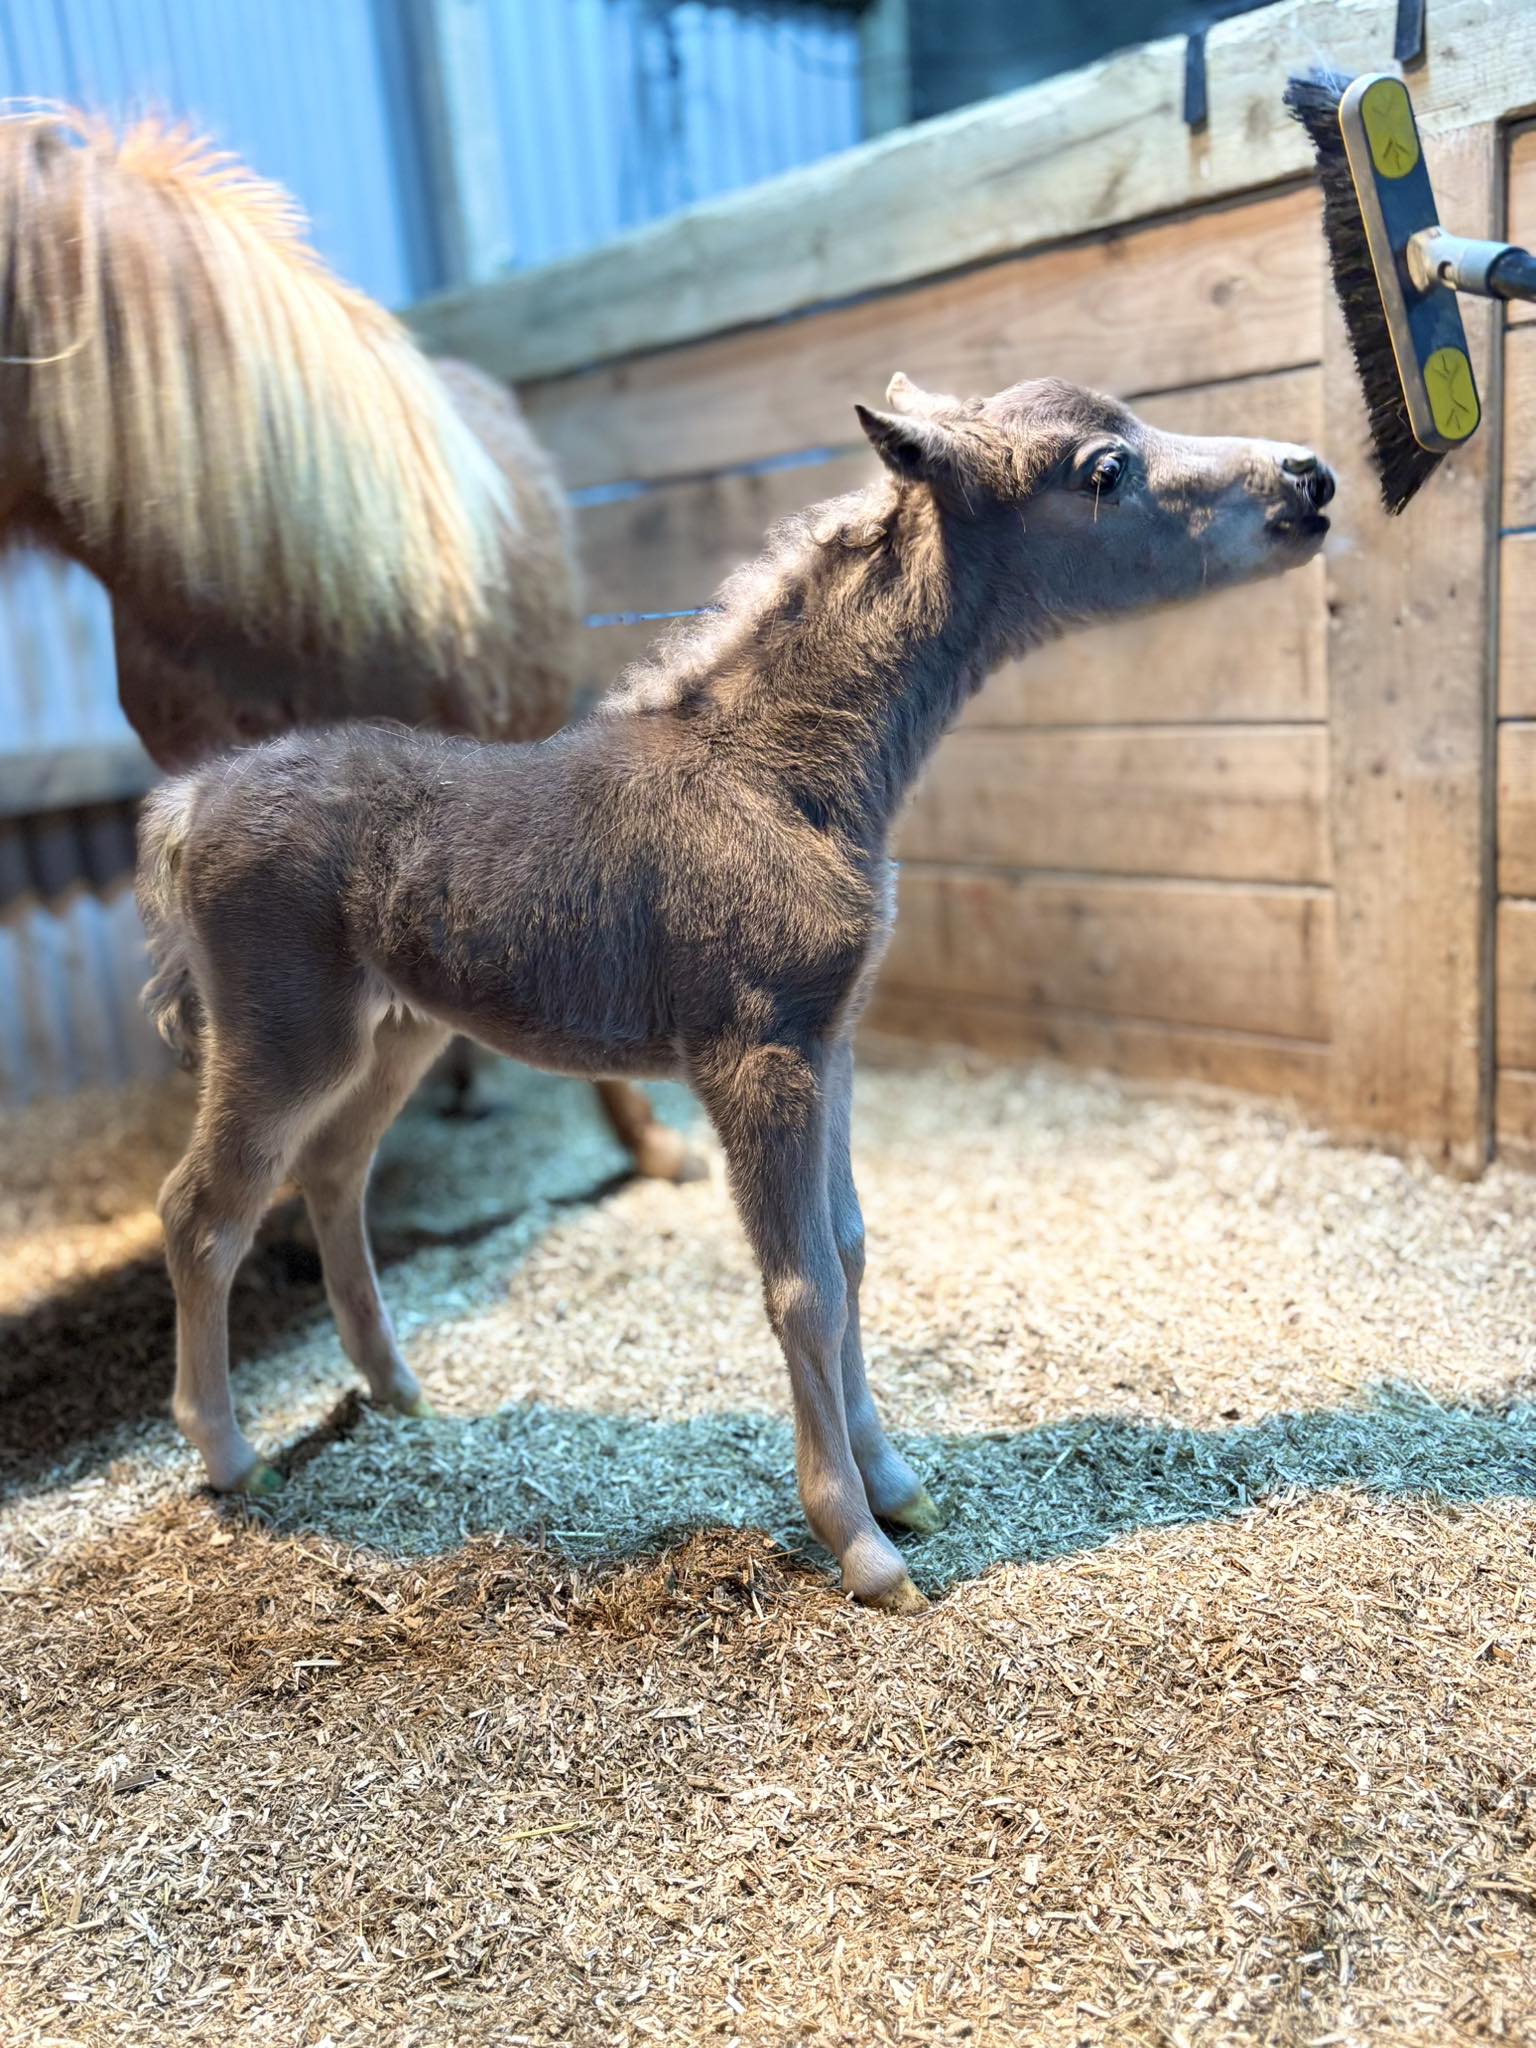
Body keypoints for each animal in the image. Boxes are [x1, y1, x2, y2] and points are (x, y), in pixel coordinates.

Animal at [138, 371, 1336, 1610]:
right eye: (1105, 470)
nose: (1311, 479)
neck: (776, 774)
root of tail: (189, 801)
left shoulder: (831, 1040)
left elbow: (848, 1248)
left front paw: (899, 1483)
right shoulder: (757, 1054)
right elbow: (801, 1281)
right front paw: (860, 1543)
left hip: (397, 1031)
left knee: (334, 1168)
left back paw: (396, 1387)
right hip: (285, 1032)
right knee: (203, 1209)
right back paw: (230, 1455)